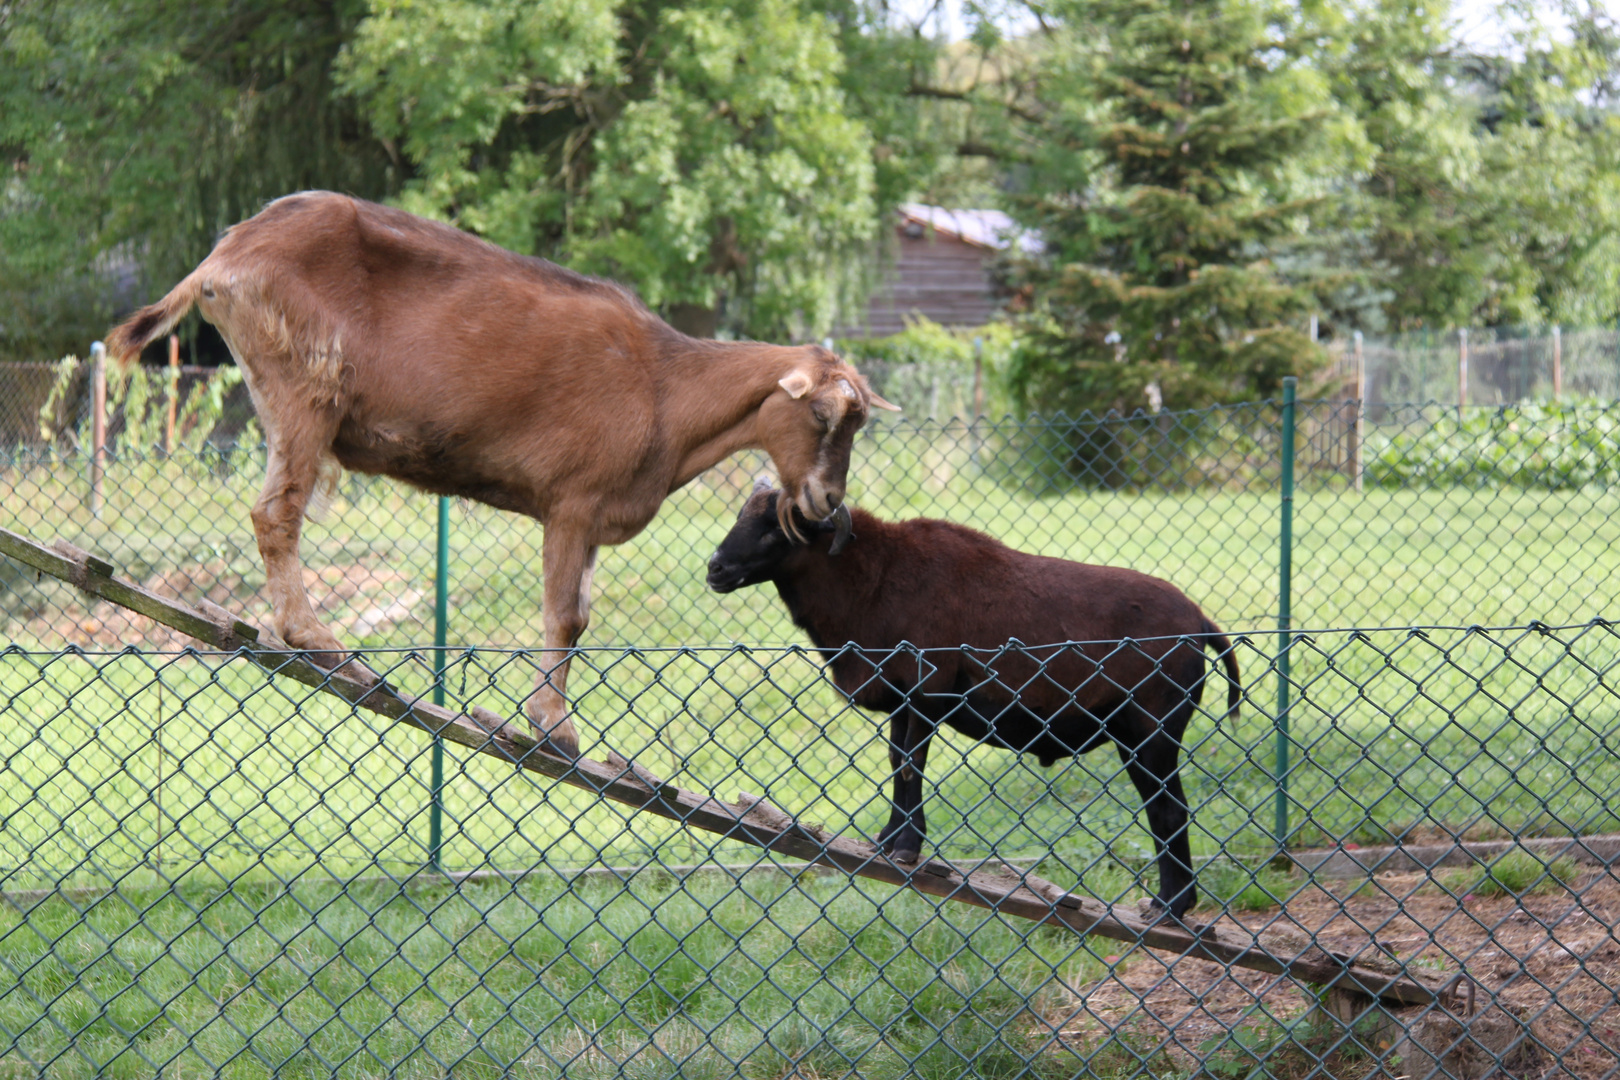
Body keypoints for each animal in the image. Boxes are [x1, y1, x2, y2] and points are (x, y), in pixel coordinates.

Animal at [110, 191, 900, 761]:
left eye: (859, 423)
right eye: (822, 415)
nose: (827, 500)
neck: (665, 387)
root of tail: (224, 258)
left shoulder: (588, 518)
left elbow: (579, 613)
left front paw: (555, 720)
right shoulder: (572, 502)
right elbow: (565, 615)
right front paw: (554, 724)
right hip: (305, 387)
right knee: (276, 511)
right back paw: (315, 636)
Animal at [703, 485, 1244, 919]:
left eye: (778, 527)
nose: (716, 569)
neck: (874, 579)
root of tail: (1200, 624)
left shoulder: (926, 694)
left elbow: (911, 766)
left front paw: (905, 849)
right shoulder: (903, 703)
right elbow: (898, 763)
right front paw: (887, 841)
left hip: (1152, 732)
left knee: (1169, 810)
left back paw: (1170, 906)